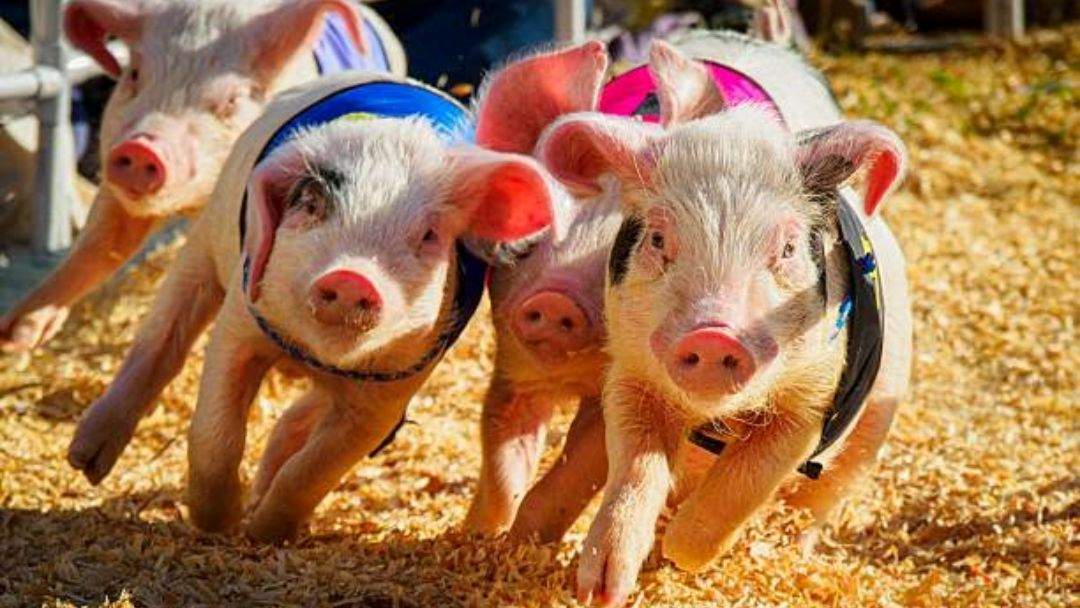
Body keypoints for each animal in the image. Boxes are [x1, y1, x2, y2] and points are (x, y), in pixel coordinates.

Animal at [65, 71, 561, 544]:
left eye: (429, 235)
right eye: (311, 203)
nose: (351, 276)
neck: (314, 354)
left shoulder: (392, 388)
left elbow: (314, 470)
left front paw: (265, 531)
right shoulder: (242, 318)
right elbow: (215, 434)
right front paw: (218, 525)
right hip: (204, 244)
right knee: (162, 339)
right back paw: (85, 461)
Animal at [529, 42, 912, 605]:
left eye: (788, 248)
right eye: (658, 239)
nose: (713, 334)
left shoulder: (814, 396)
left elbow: (748, 478)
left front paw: (678, 551)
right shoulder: (629, 370)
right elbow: (636, 467)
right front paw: (600, 586)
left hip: (875, 425)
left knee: (819, 499)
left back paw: (788, 550)